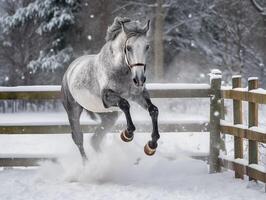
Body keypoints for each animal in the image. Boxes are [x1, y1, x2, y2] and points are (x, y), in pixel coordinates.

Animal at [60, 16, 160, 162]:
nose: (139, 79)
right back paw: (87, 165)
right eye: (128, 48)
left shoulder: (138, 95)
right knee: (78, 138)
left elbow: (153, 110)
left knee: (95, 140)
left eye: (147, 46)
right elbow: (124, 103)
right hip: (73, 110)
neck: (122, 70)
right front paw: (127, 134)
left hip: (108, 116)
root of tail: (69, 70)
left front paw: (151, 146)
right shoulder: (107, 97)